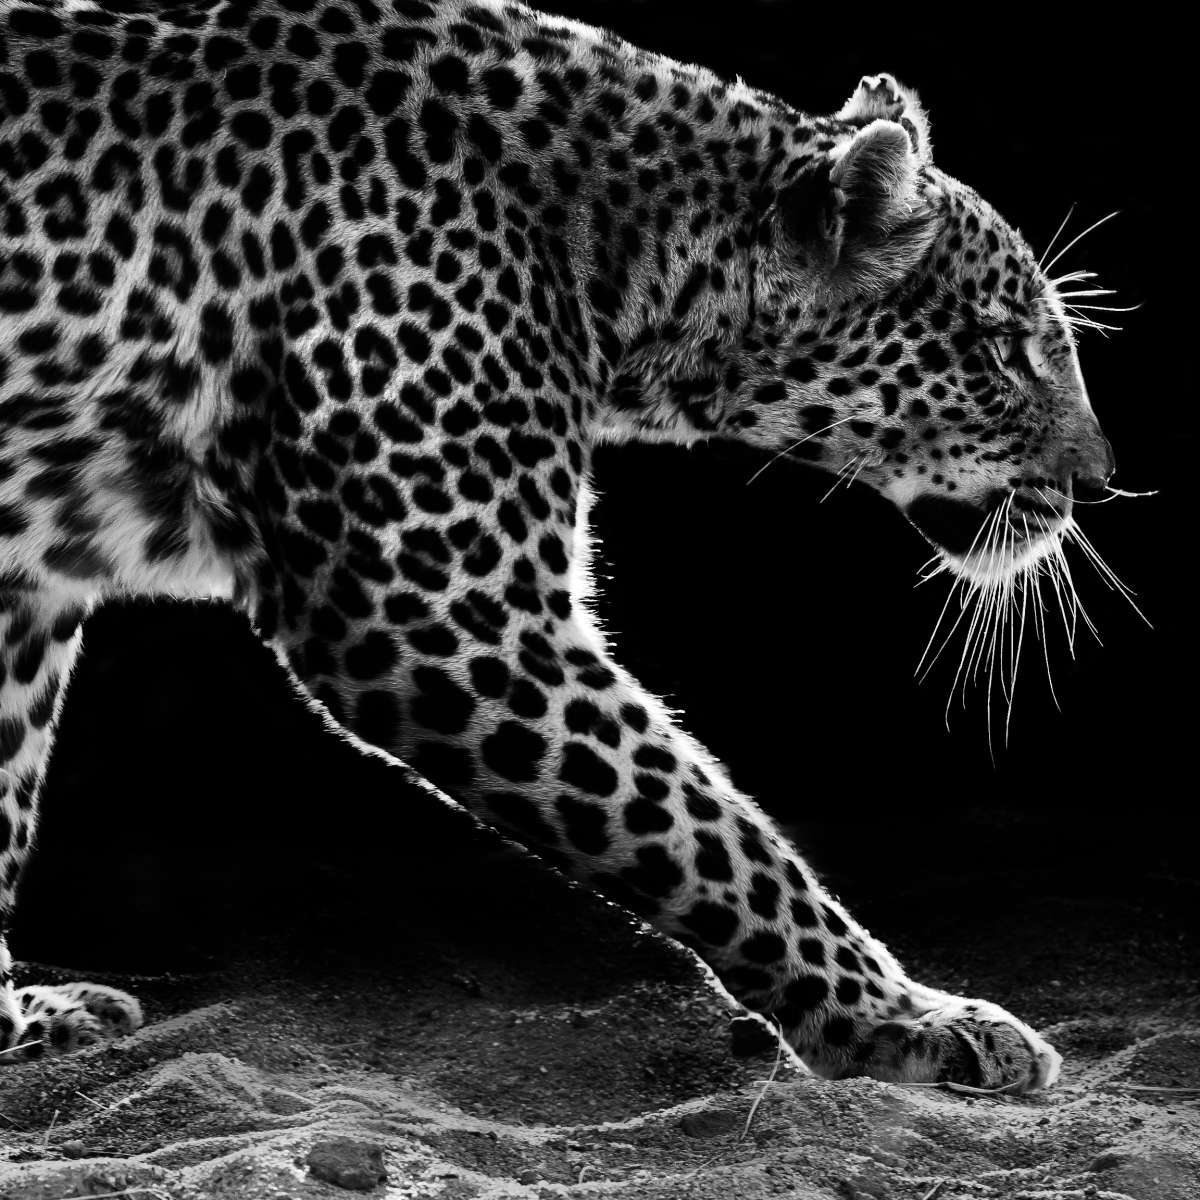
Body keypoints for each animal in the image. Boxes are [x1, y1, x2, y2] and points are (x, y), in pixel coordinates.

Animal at [0, 0, 1117, 1093]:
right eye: (1006, 349)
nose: (1101, 480)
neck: (627, 246)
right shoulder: (444, 608)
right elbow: (707, 832)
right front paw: (900, 1020)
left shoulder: (28, 587)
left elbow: (6, 792)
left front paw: (16, 1020)